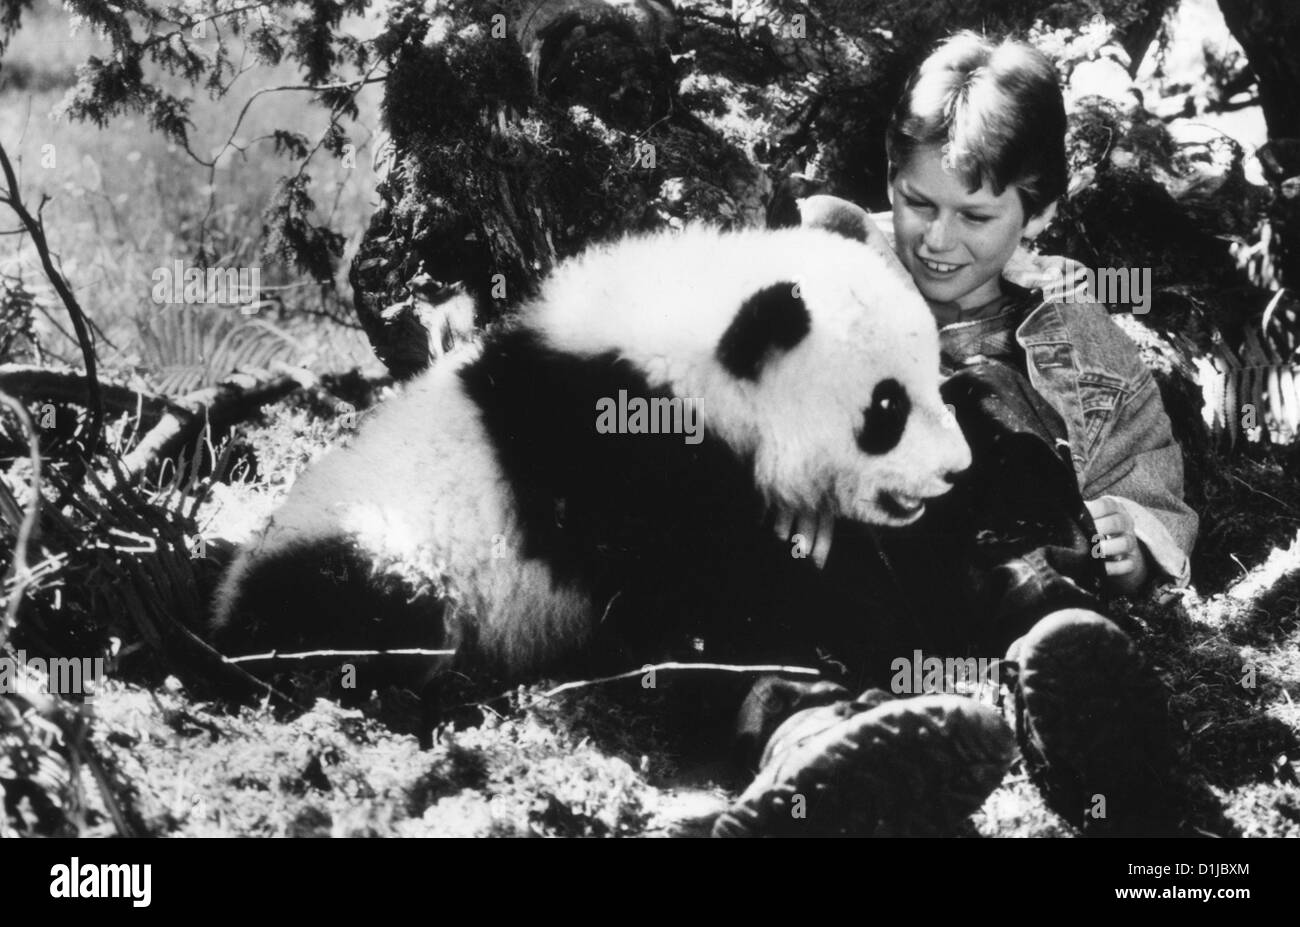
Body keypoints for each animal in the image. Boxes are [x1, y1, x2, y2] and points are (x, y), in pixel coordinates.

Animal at [212, 224, 970, 688]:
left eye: (937, 378)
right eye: (887, 409)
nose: (956, 469)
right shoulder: (613, 449)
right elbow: (713, 579)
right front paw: (864, 636)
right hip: (380, 543)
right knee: (359, 610)